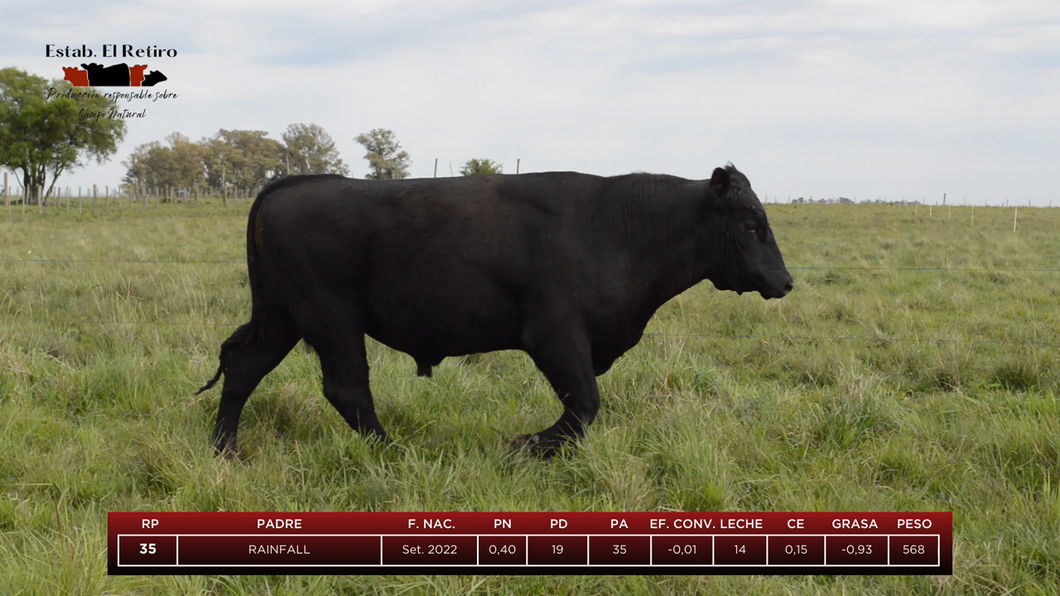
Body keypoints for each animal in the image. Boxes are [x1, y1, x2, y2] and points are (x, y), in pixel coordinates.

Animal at [199, 162, 792, 453]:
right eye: (750, 224)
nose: (785, 281)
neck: (619, 228)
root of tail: (293, 185)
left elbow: (583, 409)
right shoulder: (555, 334)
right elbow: (585, 406)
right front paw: (526, 445)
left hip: (283, 317)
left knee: (245, 368)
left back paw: (226, 449)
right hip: (329, 319)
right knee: (347, 389)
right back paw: (395, 453)